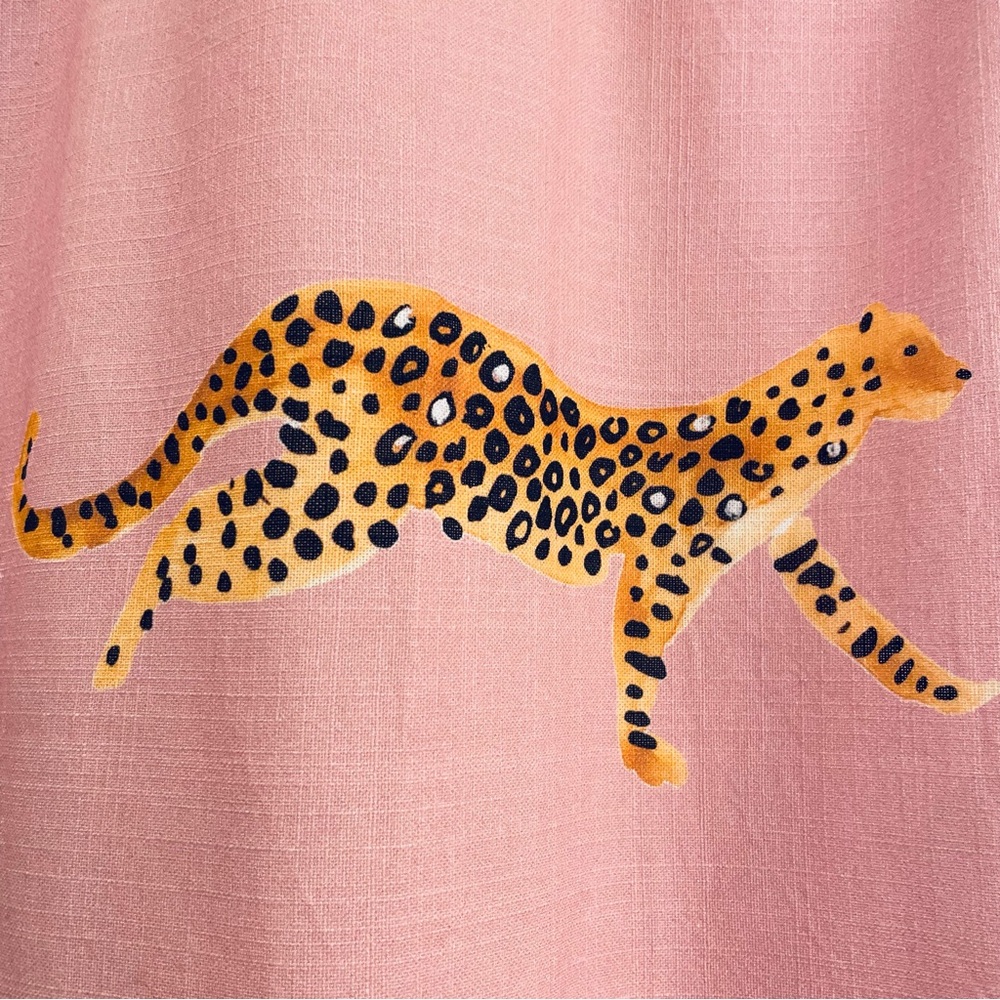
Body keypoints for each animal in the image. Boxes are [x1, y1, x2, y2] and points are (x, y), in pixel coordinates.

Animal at [11, 282, 997, 786]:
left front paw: (960, 694)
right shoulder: (656, 573)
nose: (964, 372)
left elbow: (874, 638)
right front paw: (645, 757)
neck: (812, 435)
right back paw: (113, 666)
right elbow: (640, 664)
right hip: (349, 506)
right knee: (186, 529)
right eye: (915, 348)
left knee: (199, 518)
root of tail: (316, 298)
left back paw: (116, 659)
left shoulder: (794, 546)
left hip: (323, 481)